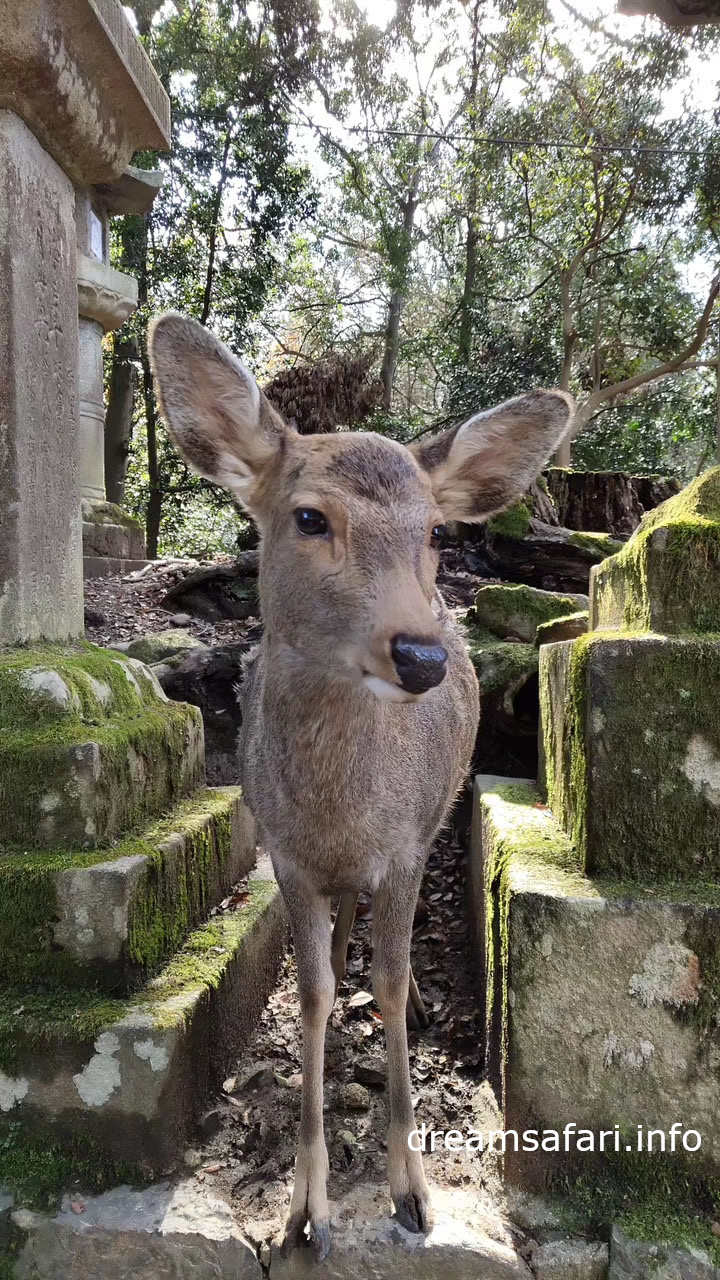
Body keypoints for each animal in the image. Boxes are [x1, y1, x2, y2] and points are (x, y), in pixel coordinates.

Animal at [147, 314, 571, 1264]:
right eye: (310, 517)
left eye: (438, 535)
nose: (420, 655)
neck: (341, 818)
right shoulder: (287, 856)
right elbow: (307, 996)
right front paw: (305, 1210)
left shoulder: (409, 845)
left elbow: (392, 982)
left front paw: (411, 1193)